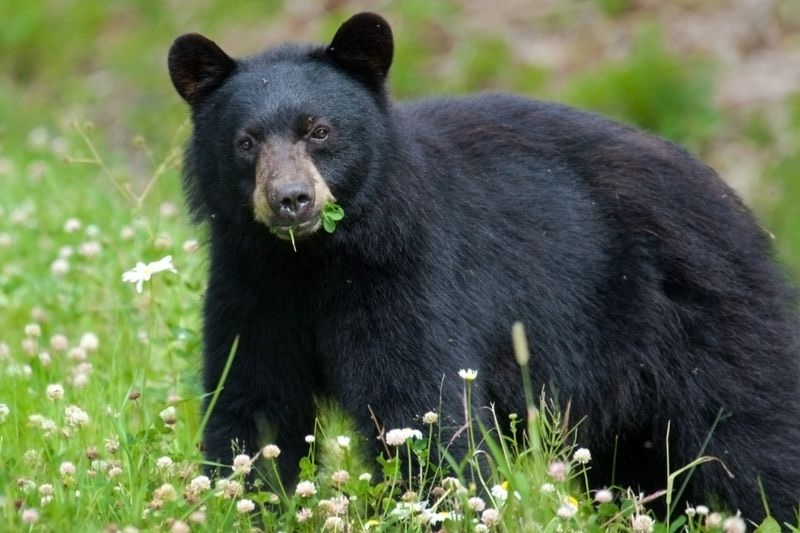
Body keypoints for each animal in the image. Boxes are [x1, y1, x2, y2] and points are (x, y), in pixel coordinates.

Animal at [167, 12, 800, 522]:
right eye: (246, 142)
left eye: (320, 131)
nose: (292, 200)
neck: (315, 261)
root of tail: (739, 213)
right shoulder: (251, 283)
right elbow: (252, 400)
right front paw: (240, 503)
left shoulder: (411, 275)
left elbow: (422, 406)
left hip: (705, 323)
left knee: (753, 439)